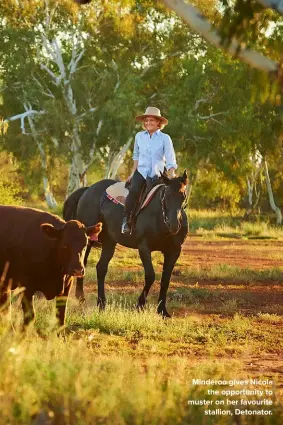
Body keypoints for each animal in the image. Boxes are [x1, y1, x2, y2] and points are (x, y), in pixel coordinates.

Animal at [63, 171, 189, 316]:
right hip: (89, 239)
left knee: (101, 268)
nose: (174, 225)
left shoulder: (174, 251)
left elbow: (166, 279)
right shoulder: (144, 247)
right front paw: (140, 305)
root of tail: (87, 190)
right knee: (83, 263)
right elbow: (150, 276)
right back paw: (81, 297)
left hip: (109, 242)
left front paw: (162, 310)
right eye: (166, 196)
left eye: (183, 196)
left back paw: (101, 303)